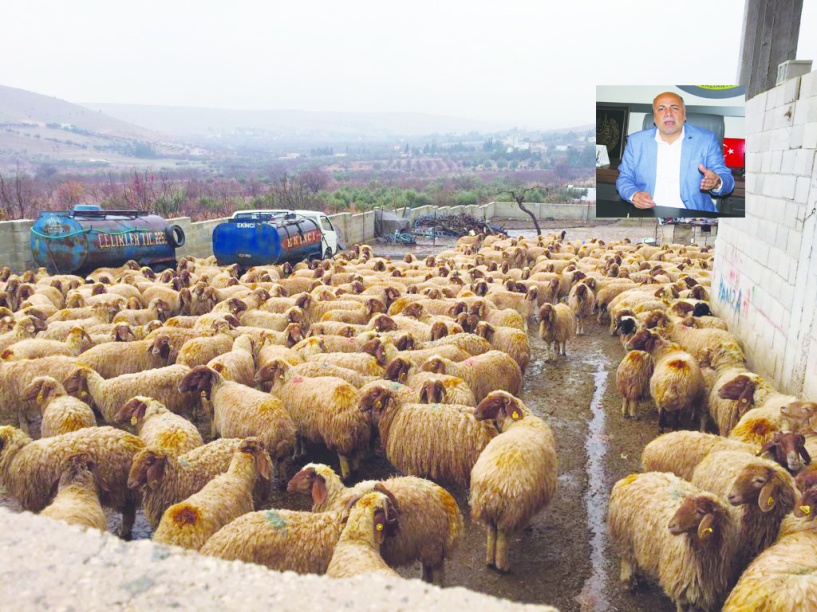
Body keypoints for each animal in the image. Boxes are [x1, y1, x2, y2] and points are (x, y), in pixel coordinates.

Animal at [0, 424, 143, 536]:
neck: (16, 455)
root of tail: (135, 444)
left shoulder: (32, 501)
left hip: (120, 489)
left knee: (128, 513)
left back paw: (123, 532)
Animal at [288, 464, 466, 584]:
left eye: (307, 476)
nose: (288, 485)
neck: (333, 500)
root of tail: (447, 499)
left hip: (432, 543)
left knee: (437, 573)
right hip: (427, 546)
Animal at [468, 392, 556, 572]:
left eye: (495, 402)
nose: (475, 413)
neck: (521, 421)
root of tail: (492, 489)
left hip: (488, 509)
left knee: (491, 531)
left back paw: (489, 561)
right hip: (512, 509)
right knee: (502, 535)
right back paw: (503, 566)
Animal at [604, 470, 740, 608]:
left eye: (700, 511)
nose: (671, 525)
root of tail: (631, 478)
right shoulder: (681, 581)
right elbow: (682, 605)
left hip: (639, 541)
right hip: (626, 536)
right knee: (627, 559)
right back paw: (628, 583)